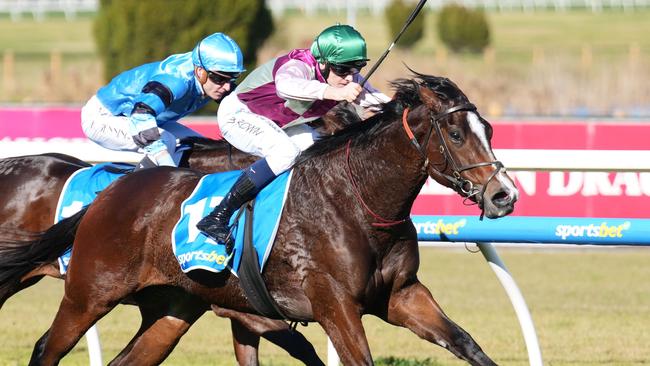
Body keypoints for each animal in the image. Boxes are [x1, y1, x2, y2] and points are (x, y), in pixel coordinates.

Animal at [16, 75, 516, 366]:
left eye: (489, 130)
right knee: (46, 349)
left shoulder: (402, 295)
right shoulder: (333, 305)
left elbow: (465, 342)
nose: (504, 195)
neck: (356, 200)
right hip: (89, 294)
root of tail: (111, 192)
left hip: (171, 309)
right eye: (456, 133)